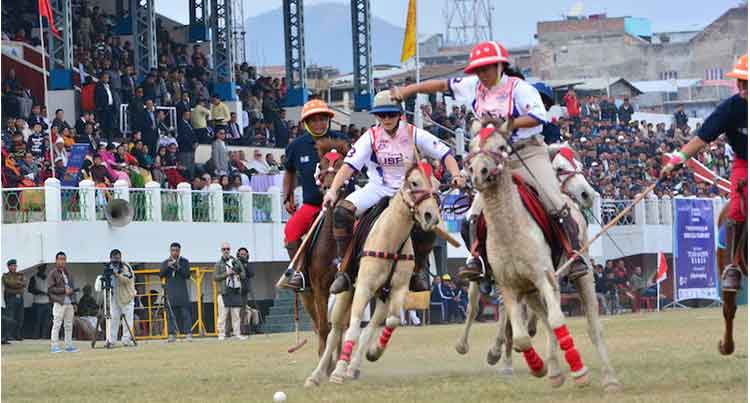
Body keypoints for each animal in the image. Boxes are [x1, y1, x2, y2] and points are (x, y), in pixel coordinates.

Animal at [470, 119, 624, 392]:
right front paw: (539, 367)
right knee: (539, 321)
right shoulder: (509, 286)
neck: (509, 230)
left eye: (501, 146)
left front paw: (579, 371)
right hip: (530, 289)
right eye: (473, 146)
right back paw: (551, 369)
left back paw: (609, 379)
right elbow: (522, 335)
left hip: (581, 276)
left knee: (592, 325)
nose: (480, 172)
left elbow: (557, 320)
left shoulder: (545, 278)